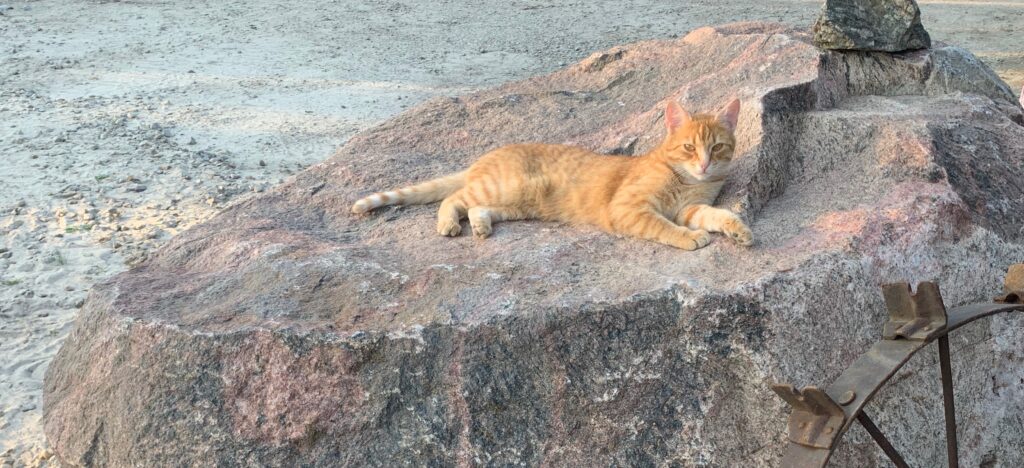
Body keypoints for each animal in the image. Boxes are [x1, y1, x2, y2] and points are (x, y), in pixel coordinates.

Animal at [351, 98, 752, 250]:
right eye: (688, 147)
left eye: (717, 147)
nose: (704, 163)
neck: (687, 181)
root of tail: (488, 153)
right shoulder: (630, 209)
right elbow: (664, 227)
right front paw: (690, 238)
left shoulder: (690, 208)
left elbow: (716, 214)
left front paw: (738, 229)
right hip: (504, 187)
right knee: (453, 198)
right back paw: (449, 224)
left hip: (518, 203)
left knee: (477, 208)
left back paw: (480, 226)